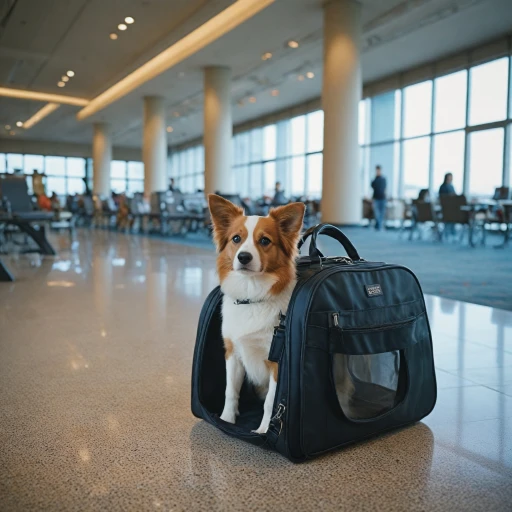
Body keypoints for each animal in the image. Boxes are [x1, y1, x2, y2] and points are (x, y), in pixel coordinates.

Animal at [207, 194, 304, 434]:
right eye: (236, 238)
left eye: (265, 241)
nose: (243, 257)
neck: (251, 298)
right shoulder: (233, 353)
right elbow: (230, 391)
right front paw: (226, 420)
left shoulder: (277, 362)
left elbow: (271, 401)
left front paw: (263, 431)